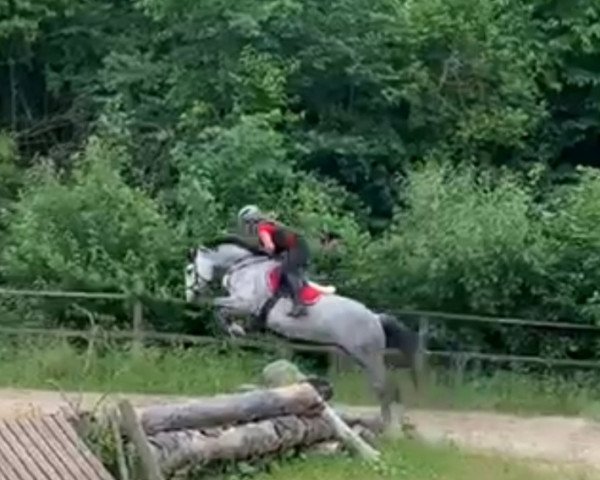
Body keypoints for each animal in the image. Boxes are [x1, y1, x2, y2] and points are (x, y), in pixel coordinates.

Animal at [184, 236, 422, 432]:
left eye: (188, 270)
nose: (190, 296)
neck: (244, 268)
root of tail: (375, 317)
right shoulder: (244, 306)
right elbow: (221, 309)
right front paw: (238, 329)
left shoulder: (247, 304)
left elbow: (218, 307)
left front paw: (235, 329)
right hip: (359, 356)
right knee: (385, 388)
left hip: (368, 356)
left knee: (385, 388)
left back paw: (391, 429)